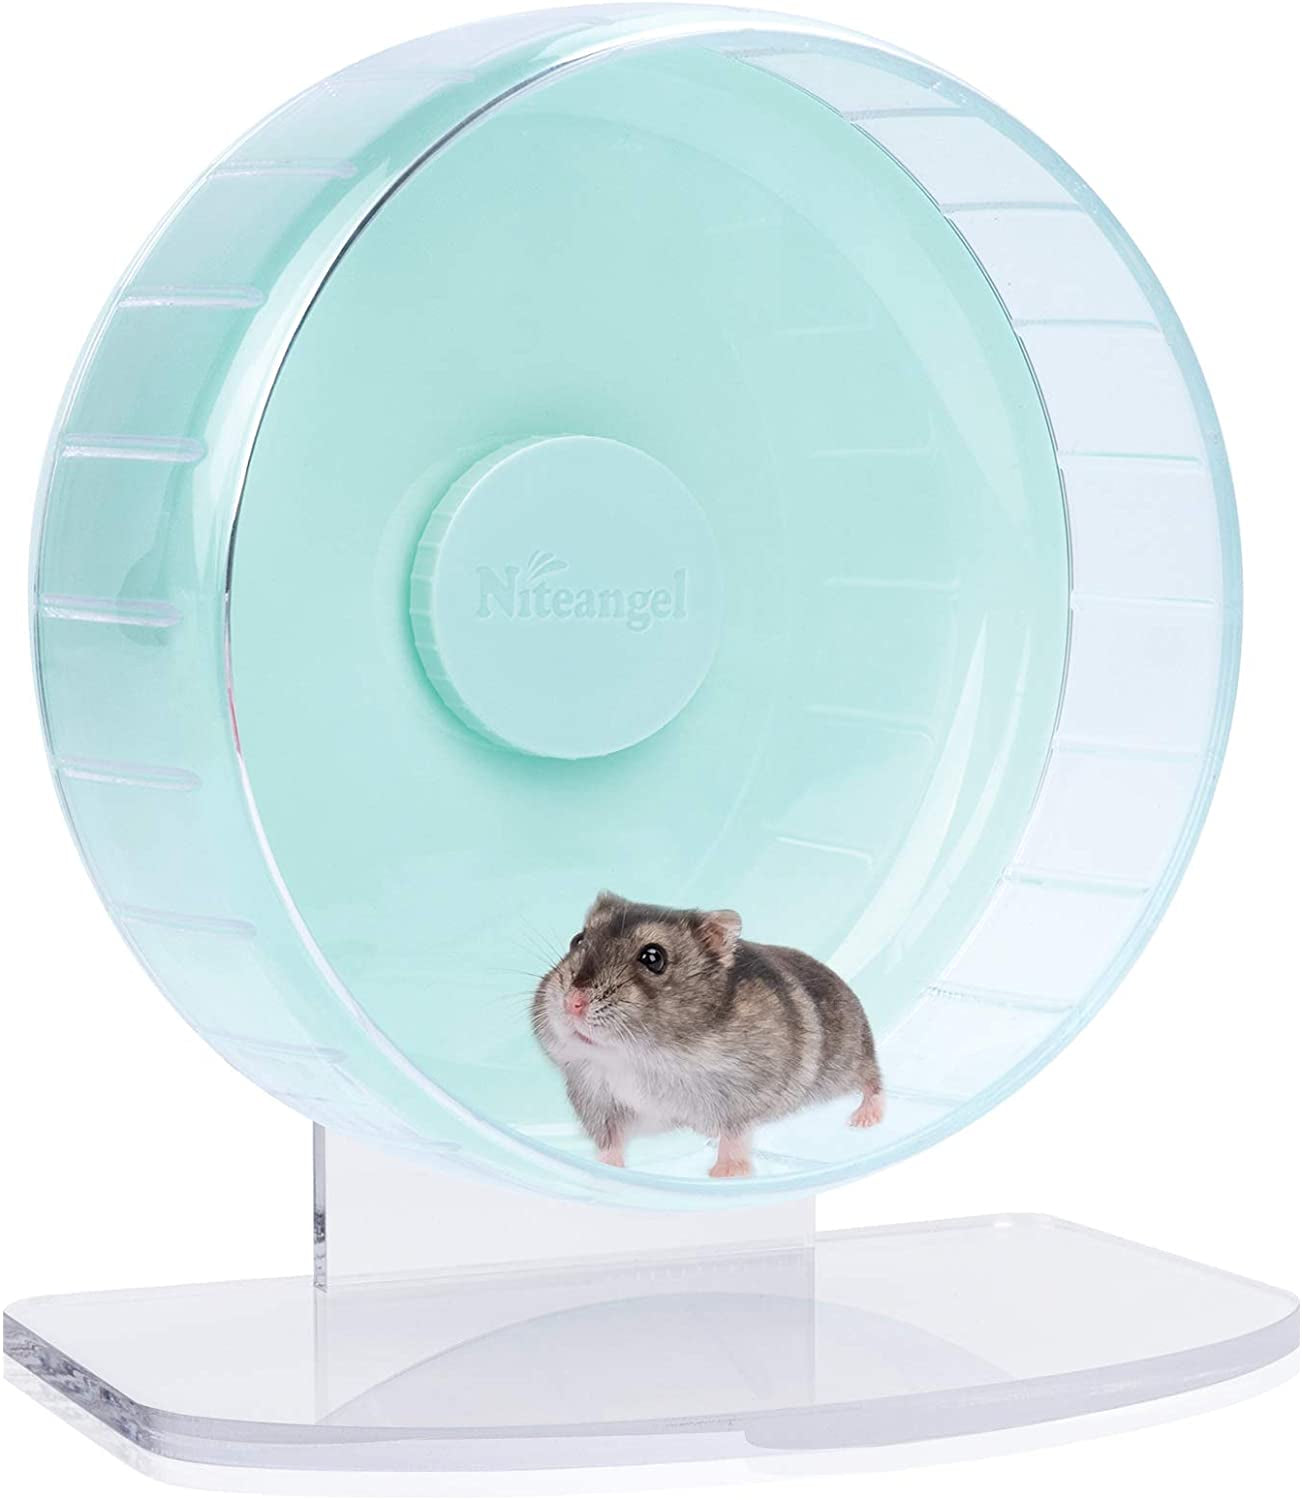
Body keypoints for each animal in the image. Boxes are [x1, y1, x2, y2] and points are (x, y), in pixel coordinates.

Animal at [531, 891, 884, 1178]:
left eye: (653, 957)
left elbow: (734, 1134)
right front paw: (604, 1167)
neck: (642, 1055)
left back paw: (865, 1119)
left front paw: (725, 1174)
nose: (572, 1003)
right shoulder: (596, 1098)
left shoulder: (746, 1094)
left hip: (850, 1060)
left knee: (872, 1080)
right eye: (577, 940)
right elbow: (610, 1140)